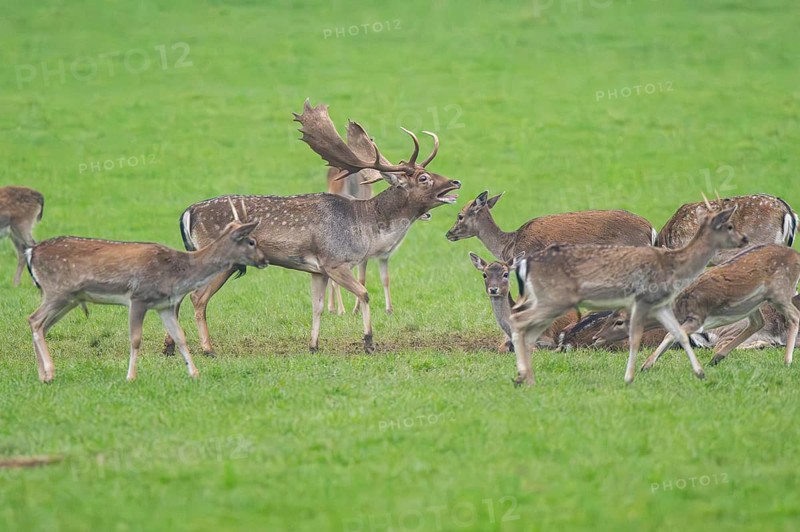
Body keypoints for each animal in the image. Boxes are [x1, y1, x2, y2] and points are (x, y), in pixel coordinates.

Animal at [25, 200, 266, 382]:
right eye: (252, 241)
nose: (264, 260)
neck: (178, 273)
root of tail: (30, 253)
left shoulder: (165, 305)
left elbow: (180, 337)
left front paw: (195, 373)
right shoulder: (138, 297)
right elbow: (135, 339)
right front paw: (131, 377)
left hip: (69, 299)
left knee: (41, 325)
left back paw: (42, 374)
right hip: (57, 291)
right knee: (34, 320)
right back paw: (49, 373)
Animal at [163, 100, 461, 356]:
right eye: (423, 178)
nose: (455, 182)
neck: (364, 228)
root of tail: (188, 212)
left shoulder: (317, 270)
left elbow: (316, 307)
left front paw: (314, 346)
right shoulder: (335, 261)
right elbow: (364, 294)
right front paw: (368, 341)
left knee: (178, 295)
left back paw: (169, 347)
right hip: (222, 260)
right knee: (197, 298)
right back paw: (207, 349)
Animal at [593, 244, 800, 371]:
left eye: (619, 321)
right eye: (610, 316)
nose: (596, 337)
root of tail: (796, 255)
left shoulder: (697, 317)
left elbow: (671, 335)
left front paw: (646, 365)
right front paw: (648, 364)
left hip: (779, 292)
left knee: (794, 315)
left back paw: (787, 360)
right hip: (752, 304)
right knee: (757, 323)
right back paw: (717, 357)